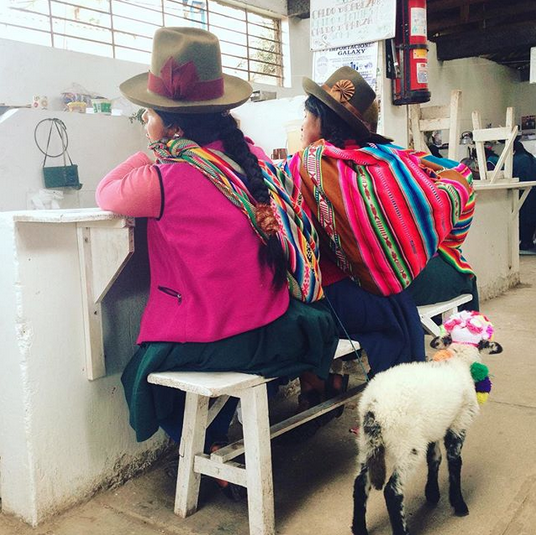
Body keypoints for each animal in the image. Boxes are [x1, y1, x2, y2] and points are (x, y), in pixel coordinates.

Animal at [352, 310, 502, 535]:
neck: (458, 359)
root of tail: (373, 408)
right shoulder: (458, 423)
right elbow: (454, 461)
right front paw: (458, 504)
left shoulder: (433, 428)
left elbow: (435, 458)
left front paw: (432, 494)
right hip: (407, 444)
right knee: (392, 491)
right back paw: (401, 530)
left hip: (366, 444)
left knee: (360, 483)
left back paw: (359, 528)